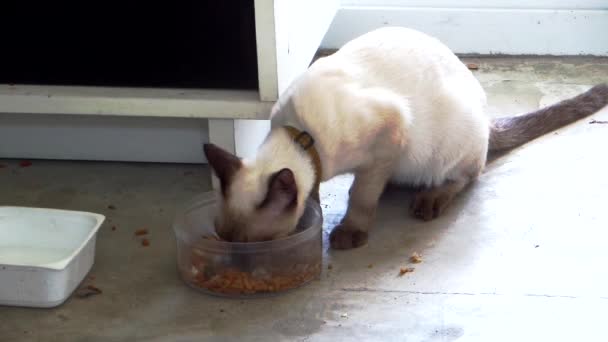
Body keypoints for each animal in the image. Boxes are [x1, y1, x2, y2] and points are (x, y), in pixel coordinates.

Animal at [203, 26, 608, 248]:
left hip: (447, 147)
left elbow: (360, 196)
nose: (242, 264)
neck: (302, 135)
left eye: (256, 244)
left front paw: (350, 232)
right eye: (225, 239)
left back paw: (429, 199)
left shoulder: (389, 132)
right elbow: (315, 191)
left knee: (467, 175)